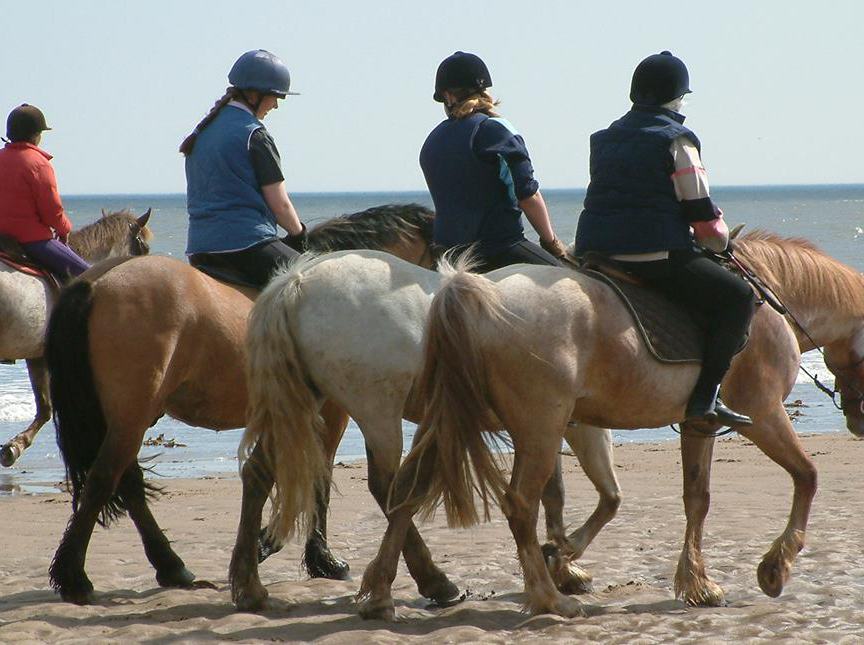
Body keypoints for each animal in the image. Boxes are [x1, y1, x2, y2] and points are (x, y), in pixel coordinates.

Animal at [43, 204, 436, 604]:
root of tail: (96, 282)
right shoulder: (331, 413)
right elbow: (320, 479)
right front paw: (316, 558)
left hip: (125, 416)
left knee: (127, 482)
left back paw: (169, 565)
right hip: (131, 415)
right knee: (105, 478)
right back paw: (76, 576)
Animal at [356, 250, 815, 619]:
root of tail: (475, 291)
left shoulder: (697, 425)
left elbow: (695, 500)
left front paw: (698, 584)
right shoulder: (764, 413)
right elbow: (806, 476)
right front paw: (775, 568)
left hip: (448, 422)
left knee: (407, 492)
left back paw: (382, 594)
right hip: (540, 428)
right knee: (520, 504)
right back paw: (549, 599)